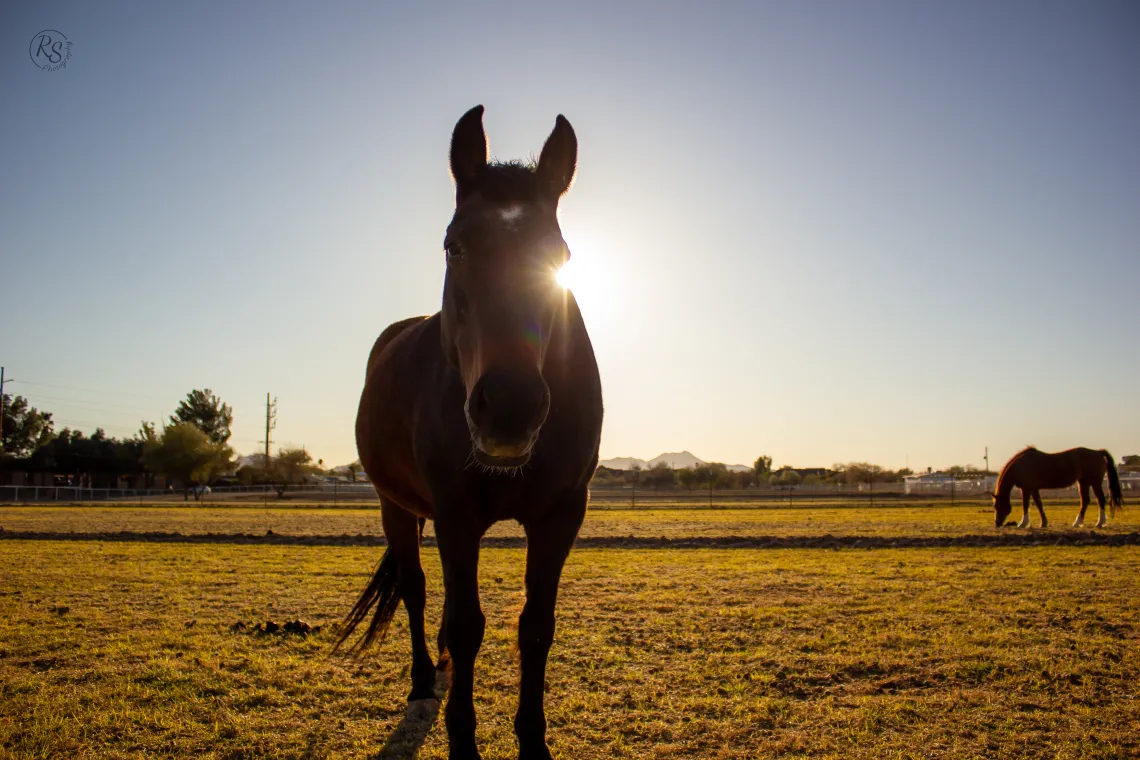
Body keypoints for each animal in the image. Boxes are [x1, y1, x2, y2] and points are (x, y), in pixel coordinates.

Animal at [335, 107, 606, 760]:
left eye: (560, 253)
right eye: (453, 246)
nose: (509, 405)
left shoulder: (562, 514)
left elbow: (535, 626)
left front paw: (533, 741)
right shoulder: (455, 514)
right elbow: (464, 625)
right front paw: (463, 741)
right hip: (396, 506)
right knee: (415, 589)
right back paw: (420, 679)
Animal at [994, 446, 1126, 528]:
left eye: (998, 506)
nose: (997, 523)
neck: (1021, 465)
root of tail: (1098, 452)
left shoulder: (1026, 489)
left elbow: (1025, 505)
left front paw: (1023, 523)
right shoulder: (1034, 488)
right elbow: (1039, 504)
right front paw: (1043, 523)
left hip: (1095, 482)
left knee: (1100, 500)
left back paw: (1099, 523)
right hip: (1083, 482)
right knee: (1085, 501)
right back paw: (1077, 523)